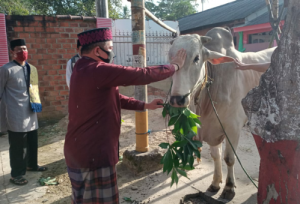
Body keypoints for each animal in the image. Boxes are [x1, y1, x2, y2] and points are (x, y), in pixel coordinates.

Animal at [168, 27, 276, 200]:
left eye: (196, 58)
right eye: (170, 58)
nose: (177, 99)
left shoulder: (233, 128)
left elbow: (229, 158)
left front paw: (229, 187)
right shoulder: (211, 128)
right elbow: (216, 156)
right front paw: (215, 183)